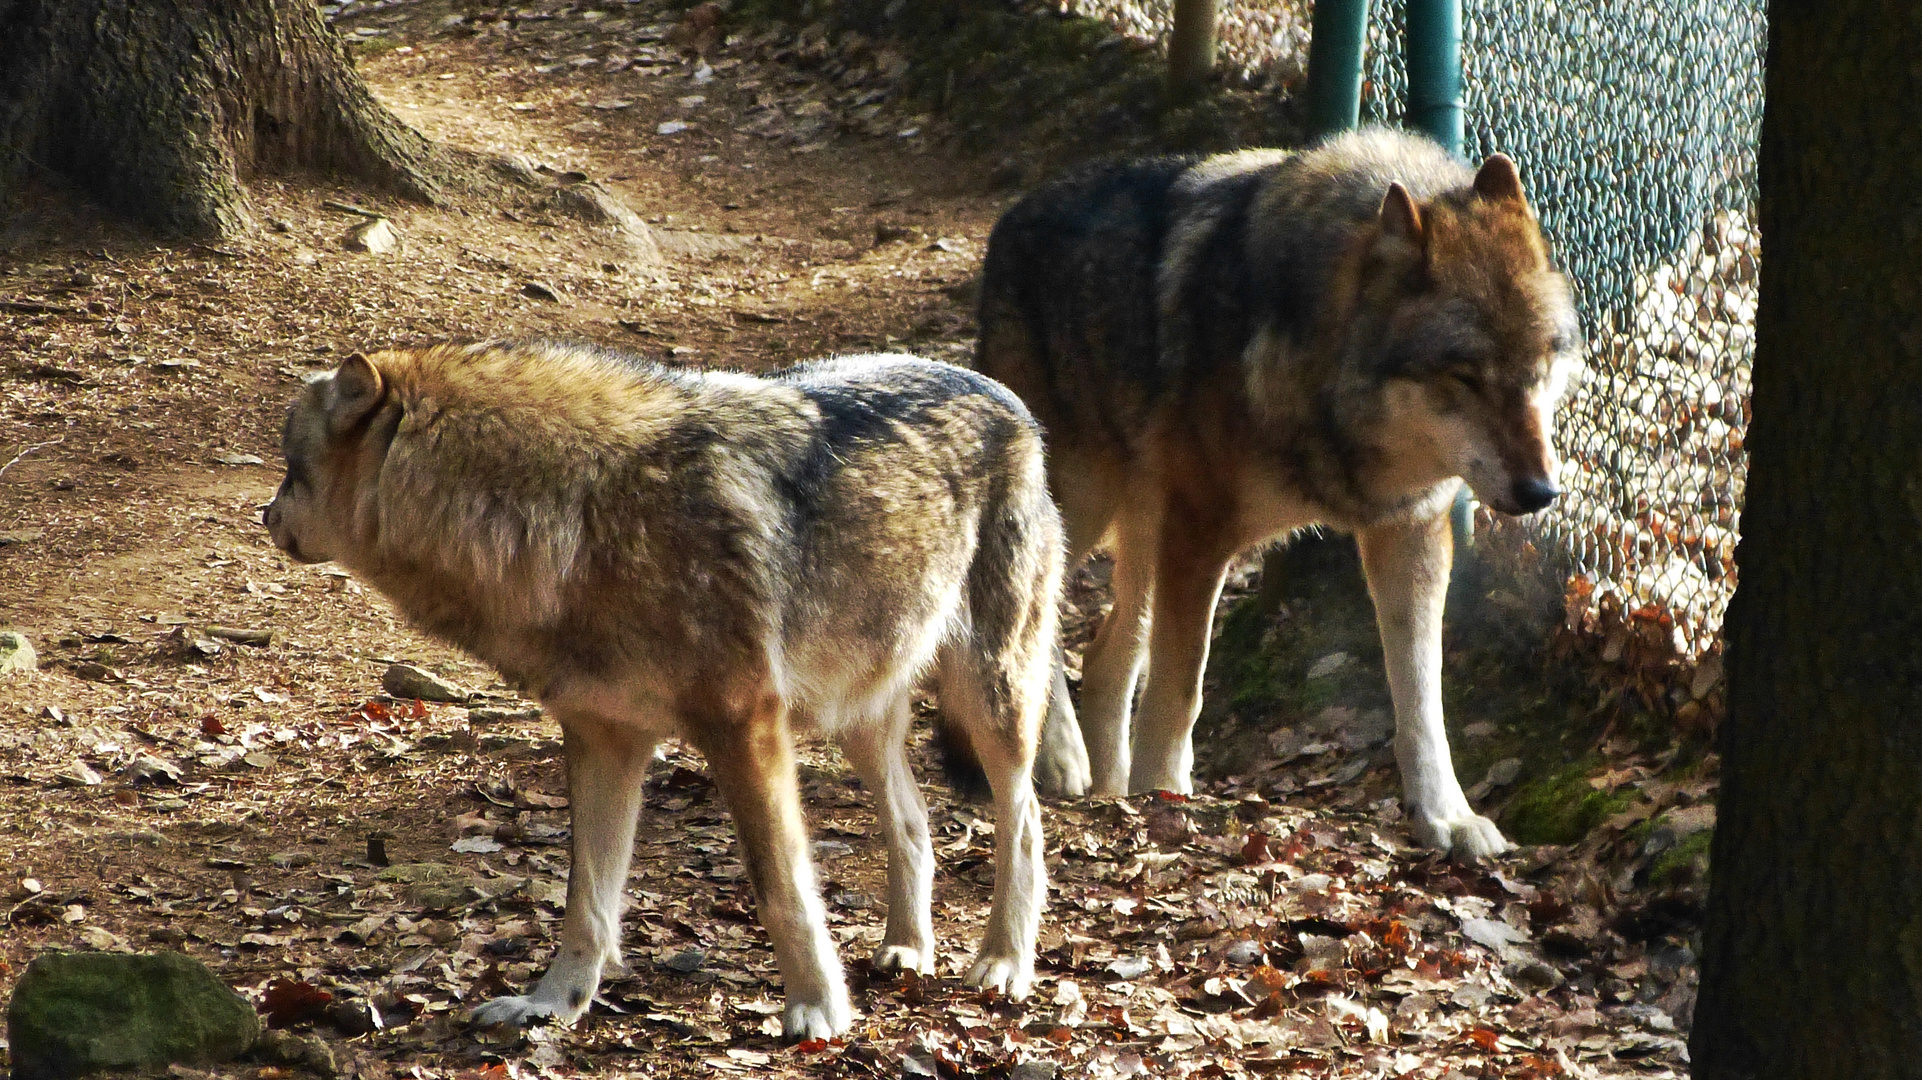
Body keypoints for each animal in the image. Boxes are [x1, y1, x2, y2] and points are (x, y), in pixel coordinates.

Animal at [261, 340, 1060, 1037]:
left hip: (990, 699)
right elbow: (586, 902)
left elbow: (782, 889)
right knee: (914, 822)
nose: (265, 517)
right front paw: (551, 1004)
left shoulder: (746, 729)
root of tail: (1005, 395)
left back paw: (1003, 963)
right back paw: (908, 949)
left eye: (290, 470)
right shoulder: (603, 738)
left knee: (1023, 824)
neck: (577, 514)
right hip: (856, 714)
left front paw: (818, 1011)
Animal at [976, 125, 1576, 857]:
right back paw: (1064, 759)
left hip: (1144, 530)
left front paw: (1448, 817)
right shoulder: (1201, 532)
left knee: (1106, 649)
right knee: (1042, 621)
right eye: (1465, 376)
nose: (1542, 491)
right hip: (1080, 504)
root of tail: (1008, 220)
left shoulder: (1410, 533)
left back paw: (1107, 789)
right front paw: (1163, 796)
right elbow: (1183, 685)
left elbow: (1422, 696)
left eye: (1542, 364)